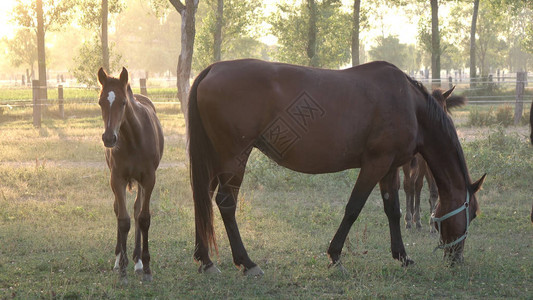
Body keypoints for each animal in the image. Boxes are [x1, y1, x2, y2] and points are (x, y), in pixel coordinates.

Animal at [97, 67, 163, 284]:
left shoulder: (149, 179)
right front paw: (123, 269)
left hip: (142, 183)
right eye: (101, 102)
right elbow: (123, 220)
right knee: (120, 210)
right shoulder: (117, 179)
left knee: (136, 210)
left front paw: (147, 266)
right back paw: (120, 259)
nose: (109, 138)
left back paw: (138, 261)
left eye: (123, 102)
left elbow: (143, 218)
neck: (134, 139)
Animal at [402, 87, 464, 232]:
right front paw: (415, 220)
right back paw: (411, 218)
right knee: (410, 185)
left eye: (444, 107)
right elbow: (413, 185)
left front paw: (434, 222)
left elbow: (435, 190)